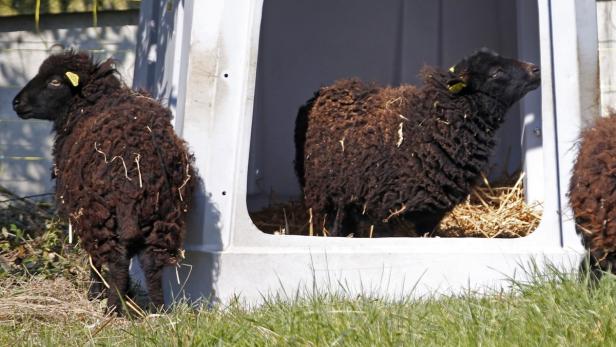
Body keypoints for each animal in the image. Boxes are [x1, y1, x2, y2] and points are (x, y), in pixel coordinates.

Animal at [12, 51, 195, 316]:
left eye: (55, 81)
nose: (16, 103)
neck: (87, 104)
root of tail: (134, 177)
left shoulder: (82, 212)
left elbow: (94, 262)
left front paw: (95, 295)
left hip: (100, 213)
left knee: (116, 262)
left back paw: (112, 309)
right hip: (160, 216)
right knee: (152, 263)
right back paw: (157, 311)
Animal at [294, 49, 540, 238]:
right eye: (496, 72)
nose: (536, 69)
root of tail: (329, 88)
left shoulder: (431, 212)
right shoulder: (385, 208)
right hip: (331, 193)